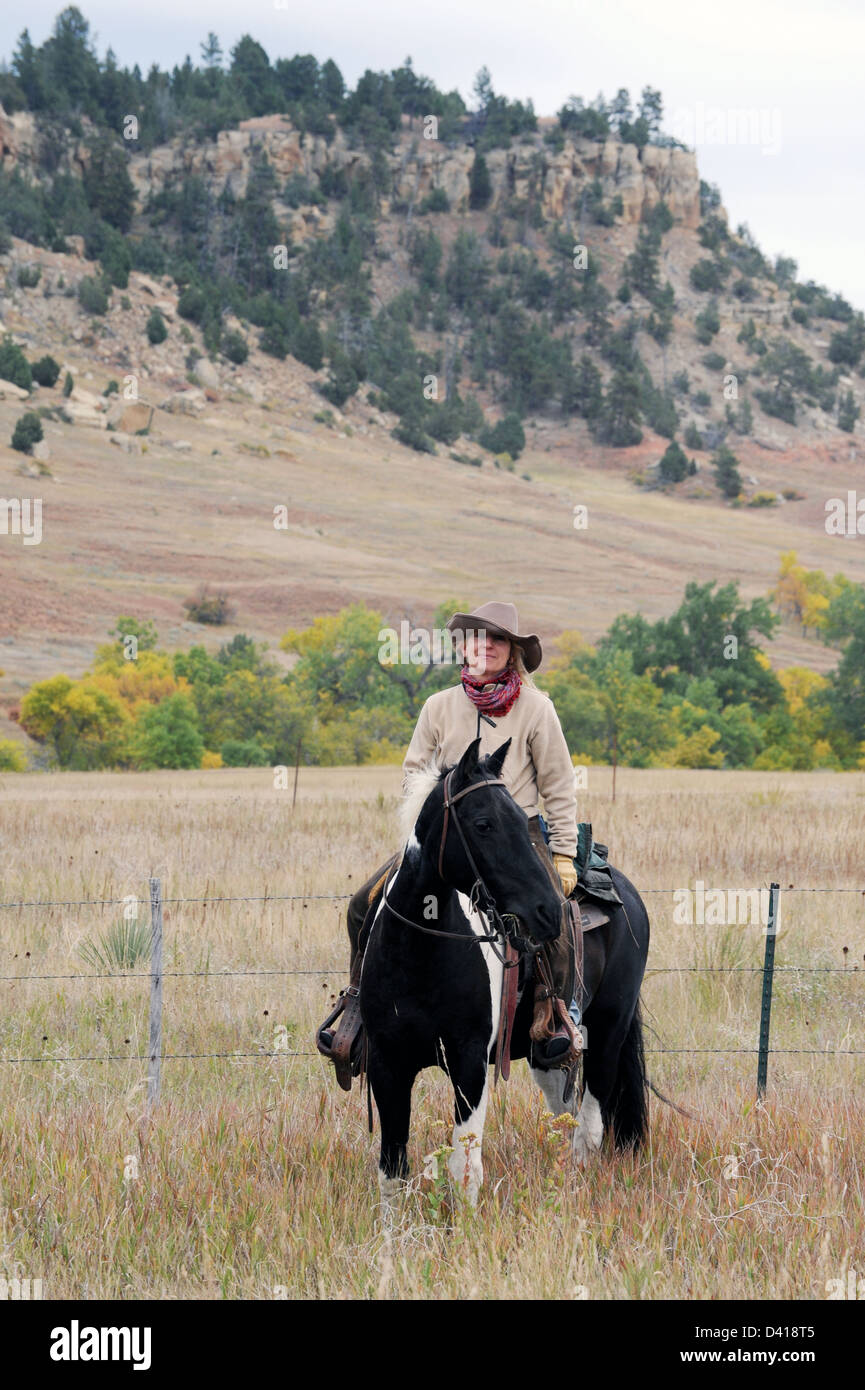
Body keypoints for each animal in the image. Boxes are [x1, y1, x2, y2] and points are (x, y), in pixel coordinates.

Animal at [355, 735, 650, 1207]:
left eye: (518, 819)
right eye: (483, 824)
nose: (548, 911)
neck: (418, 955)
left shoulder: (470, 1061)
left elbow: (464, 1169)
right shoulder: (387, 1062)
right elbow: (392, 1170)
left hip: (609, 1029)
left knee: (590, 1124)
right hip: (545, 1054)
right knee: (567, 1113)